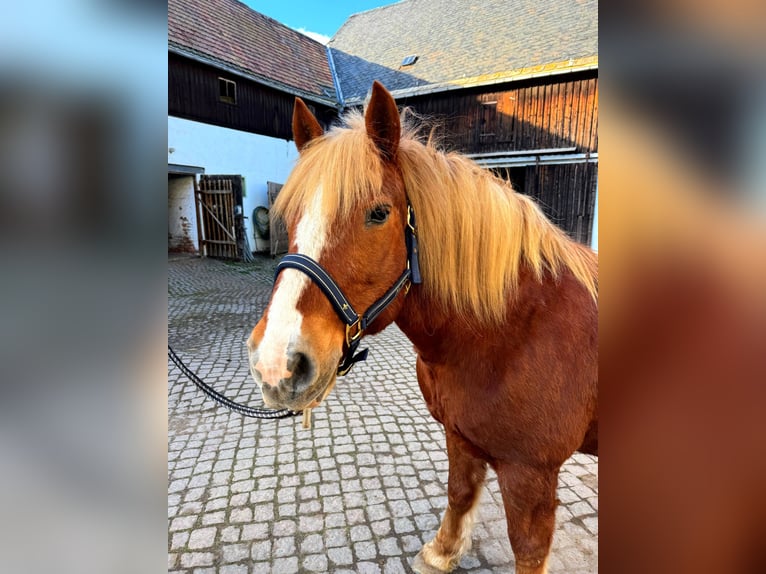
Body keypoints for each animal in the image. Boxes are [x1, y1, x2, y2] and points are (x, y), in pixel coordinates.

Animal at [246, 81, 598, 574]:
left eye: (379, 213)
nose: (277, 363)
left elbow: (528, 549)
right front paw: (442, 551)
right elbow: (460, 492)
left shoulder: (531, 474)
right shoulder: (460, 436)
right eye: (292, 214)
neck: (514, 331)